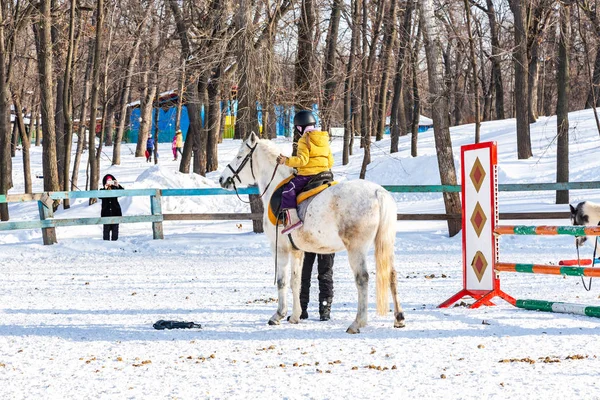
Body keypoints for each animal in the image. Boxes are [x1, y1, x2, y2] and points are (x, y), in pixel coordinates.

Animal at [218, 133, 406, 332]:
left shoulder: (280, 248)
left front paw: (278, 315)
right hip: (385, 243)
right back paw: (399, 318)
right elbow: (296, 281)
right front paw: (295, 316)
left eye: (239, 156)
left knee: (362, 278)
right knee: (391, 275)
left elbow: (282, 281)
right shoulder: (297, 250)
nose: (222, 179)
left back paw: (357, 323)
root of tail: (378, 192)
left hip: (357, 249)